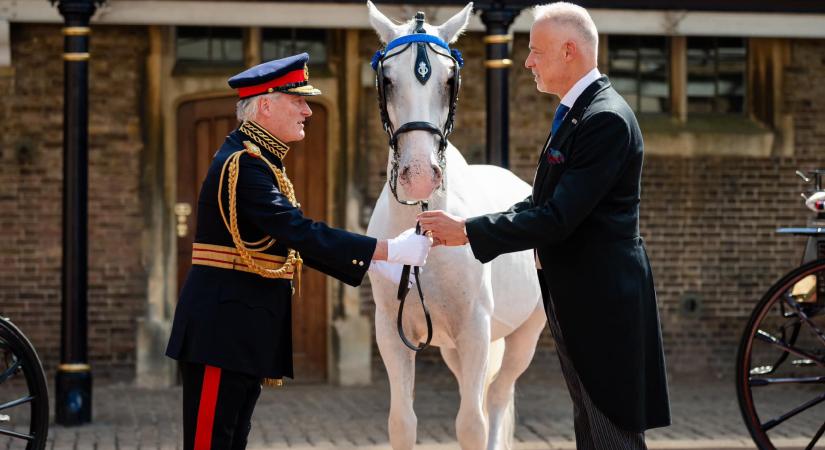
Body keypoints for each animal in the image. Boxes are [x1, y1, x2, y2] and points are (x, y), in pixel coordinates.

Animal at [366, 1, 548, 448]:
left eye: (449, 80)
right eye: (387, 80)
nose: (419, 175)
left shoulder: (475, 331)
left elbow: (471, 425)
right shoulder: (390, 331)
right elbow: (402, 422)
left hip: (524, 336)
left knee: (496, 399)